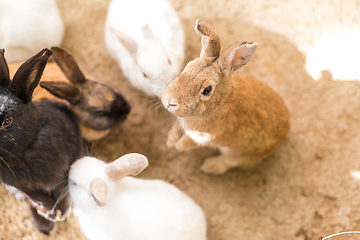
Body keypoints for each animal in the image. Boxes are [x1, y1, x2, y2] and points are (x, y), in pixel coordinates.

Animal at [0, 48, 86, 234]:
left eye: (7, 121)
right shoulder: (20, 186)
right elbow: (34, 195)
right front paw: (48, 212)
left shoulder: (62, 172)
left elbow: (61, 188)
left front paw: (58, 211)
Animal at [162, 19, 290, 174]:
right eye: (187, 66)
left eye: (207, 90)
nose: (169, 101)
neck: (219, 104)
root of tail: (286, 132)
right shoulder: (181, 122)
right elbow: (176, 127)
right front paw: (170, 142)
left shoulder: (204, 138)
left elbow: (189, 142)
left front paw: (178, 147)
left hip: (237, 153)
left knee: (229, 161)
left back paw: (209, 166)